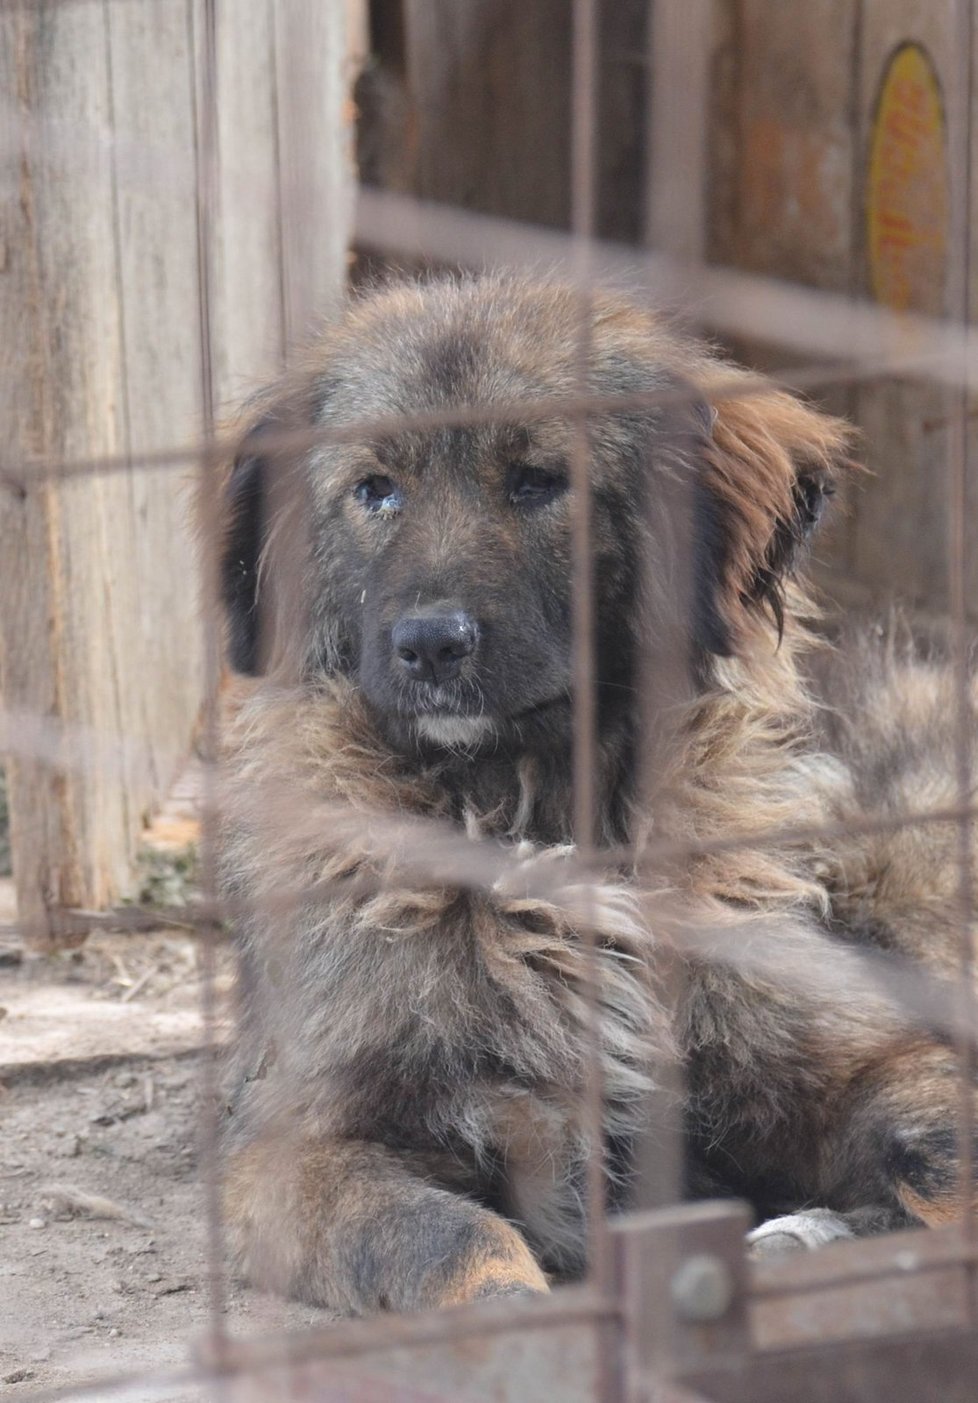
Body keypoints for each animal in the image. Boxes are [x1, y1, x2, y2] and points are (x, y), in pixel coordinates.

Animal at [216, 276, 976, 1313]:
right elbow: (446, 1241)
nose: (428, 644)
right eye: (376, 489)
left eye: (539, 480)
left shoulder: (867, 1055)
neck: (533, 825)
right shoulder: (297, 1147)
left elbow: (942, 1159)